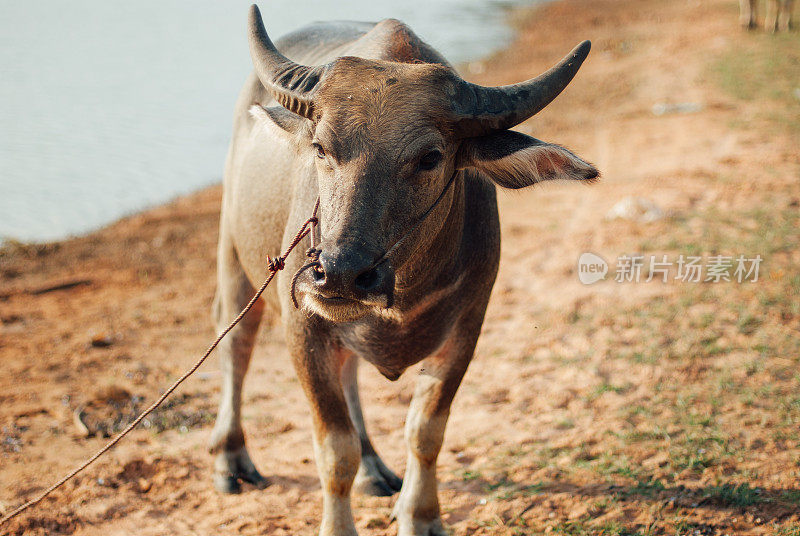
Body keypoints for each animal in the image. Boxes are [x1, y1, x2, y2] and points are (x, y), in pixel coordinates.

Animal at [209, 5, 596, 536]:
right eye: (321, 148)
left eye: (430, 157)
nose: (340, 272)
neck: (404, 289)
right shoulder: (303, 327)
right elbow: (335, 451)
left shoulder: (467, 327)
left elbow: (425, 431)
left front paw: (422, 514)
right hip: (234, 255)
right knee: (236, 342)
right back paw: (231, 459)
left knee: (349, 373)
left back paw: (374, 468)